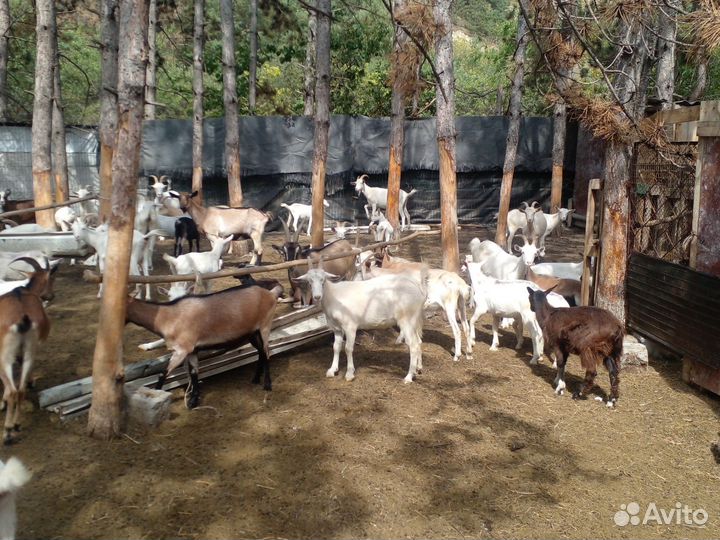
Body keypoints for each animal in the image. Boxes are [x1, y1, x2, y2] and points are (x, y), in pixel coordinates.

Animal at [0, 258, 55, 444]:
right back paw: (16, 425)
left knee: (13, 391)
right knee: (20, 389)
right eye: (51, 279)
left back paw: (8, 431)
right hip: (29, 349)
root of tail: (23, 320)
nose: (50, 296)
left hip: (5, 355)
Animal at [125, 282, 283, 409]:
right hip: (252, 333)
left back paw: (267, 385)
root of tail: (270, 293)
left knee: (267, 351)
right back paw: (255, 379)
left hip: (265, 325)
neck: (169, 317)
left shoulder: (182, 349)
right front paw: (193, 401)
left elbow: (162, 374)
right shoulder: (192, 350)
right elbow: (194, 373)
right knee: (261, 352)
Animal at [293, 262, 425, 383]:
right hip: (413, 320)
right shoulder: (336, 328)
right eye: (309, 281)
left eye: (323, 280)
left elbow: (348, 348)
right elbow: (336, 347)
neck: (333, 296)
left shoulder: (350, 326)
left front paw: (349, 373)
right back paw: (418, 369)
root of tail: (417, 289)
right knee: (418, 342)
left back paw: (408, 377)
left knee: (413, 345)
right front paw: (332, 370)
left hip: (407, 319)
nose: (317, 296)